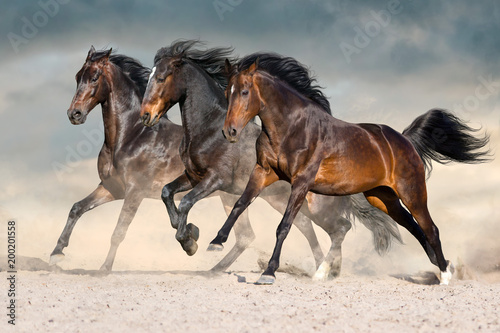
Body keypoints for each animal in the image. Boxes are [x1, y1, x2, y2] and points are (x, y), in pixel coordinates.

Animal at [138, 40, 402, 278]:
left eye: (161, 78)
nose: (145, 116)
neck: (209, 128)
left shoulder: (216, 180)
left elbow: (185, 202)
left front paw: (189, 240)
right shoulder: (193, 176)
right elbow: (167, 193)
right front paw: (189, 233)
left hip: (316, 207)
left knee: (339, 228)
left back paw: (324, 271)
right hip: (292, 204)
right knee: (319, 229)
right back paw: (324, 269)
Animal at [209, 52, 490, 282]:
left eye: (244, 92)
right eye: (227, 93)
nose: (230, 132)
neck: (292, 127)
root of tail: (404, 140)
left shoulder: (301, 182)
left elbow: (284, 226)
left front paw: (268, 272)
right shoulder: (263, 172)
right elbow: (239, 204)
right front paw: (216, 242)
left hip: (412, 192)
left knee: (430, 228)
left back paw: (445, 274)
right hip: (383, 198)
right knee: (412, 226)